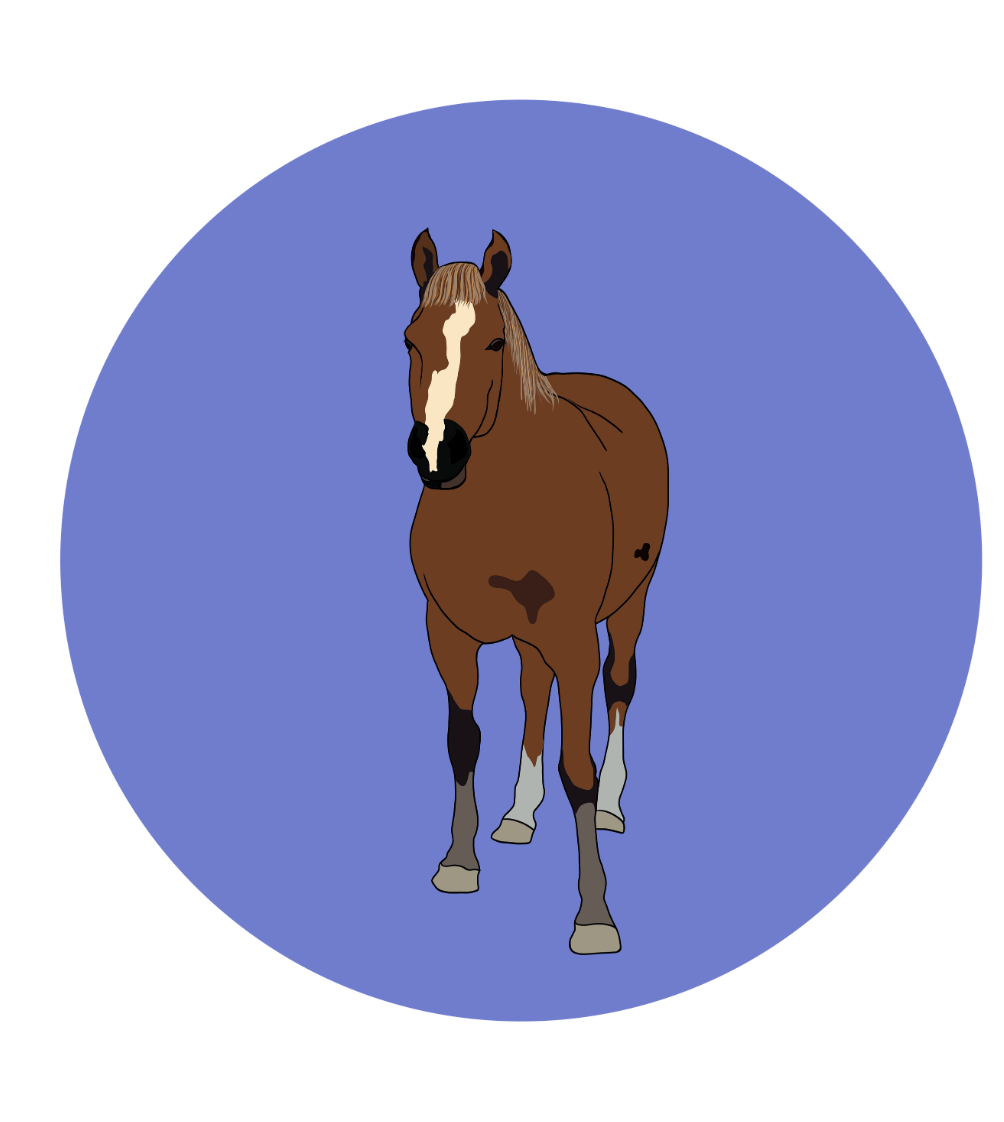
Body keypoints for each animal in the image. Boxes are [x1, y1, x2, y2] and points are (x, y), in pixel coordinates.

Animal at [405, 230, 668, 954]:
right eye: (411, 340)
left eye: (494, 342)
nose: (437, 454)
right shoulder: (447, 632)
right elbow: (463, 740)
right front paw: (459, 863)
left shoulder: (574, 639)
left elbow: (577, 767)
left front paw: (595, 917)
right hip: (529, 634)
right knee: (531, 690)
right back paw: (520, 814)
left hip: (629, 604)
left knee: (618, 686)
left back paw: (610, 807)